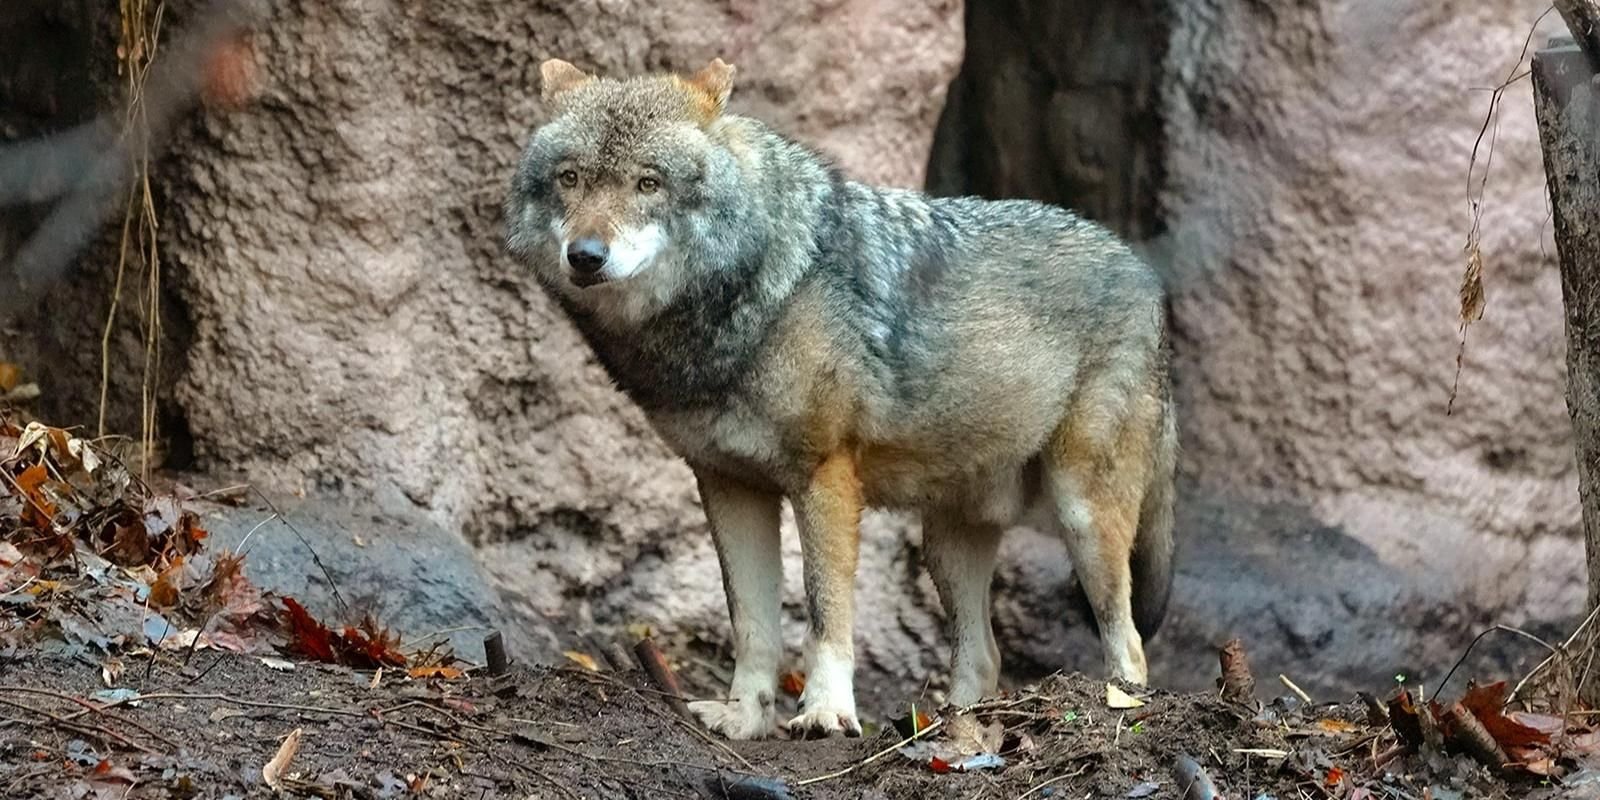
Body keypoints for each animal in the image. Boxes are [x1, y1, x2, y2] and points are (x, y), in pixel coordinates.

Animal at [504, 58, 1177, 741]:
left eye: (648, 183)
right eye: (571, 179)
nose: (586, 256)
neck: (753, 296)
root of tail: (1143, 274)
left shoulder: (824, 477)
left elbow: (825, 611)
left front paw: (826, 710)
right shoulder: (728, 485)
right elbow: (753, 626)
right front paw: (744, 716)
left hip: (1082, 515)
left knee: (1131, 646)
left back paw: (1112, 709)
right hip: (946, 545)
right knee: (983, 657)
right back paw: (955, 732)